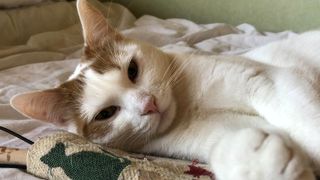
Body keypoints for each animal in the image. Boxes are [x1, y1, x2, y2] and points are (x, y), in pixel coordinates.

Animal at [8, 0, 320, 179]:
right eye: (106, 114)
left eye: (133, 70)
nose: (149, 104)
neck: (189, 107)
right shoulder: (217, 133)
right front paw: (259, 162)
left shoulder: (269, 81)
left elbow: (306, 121)